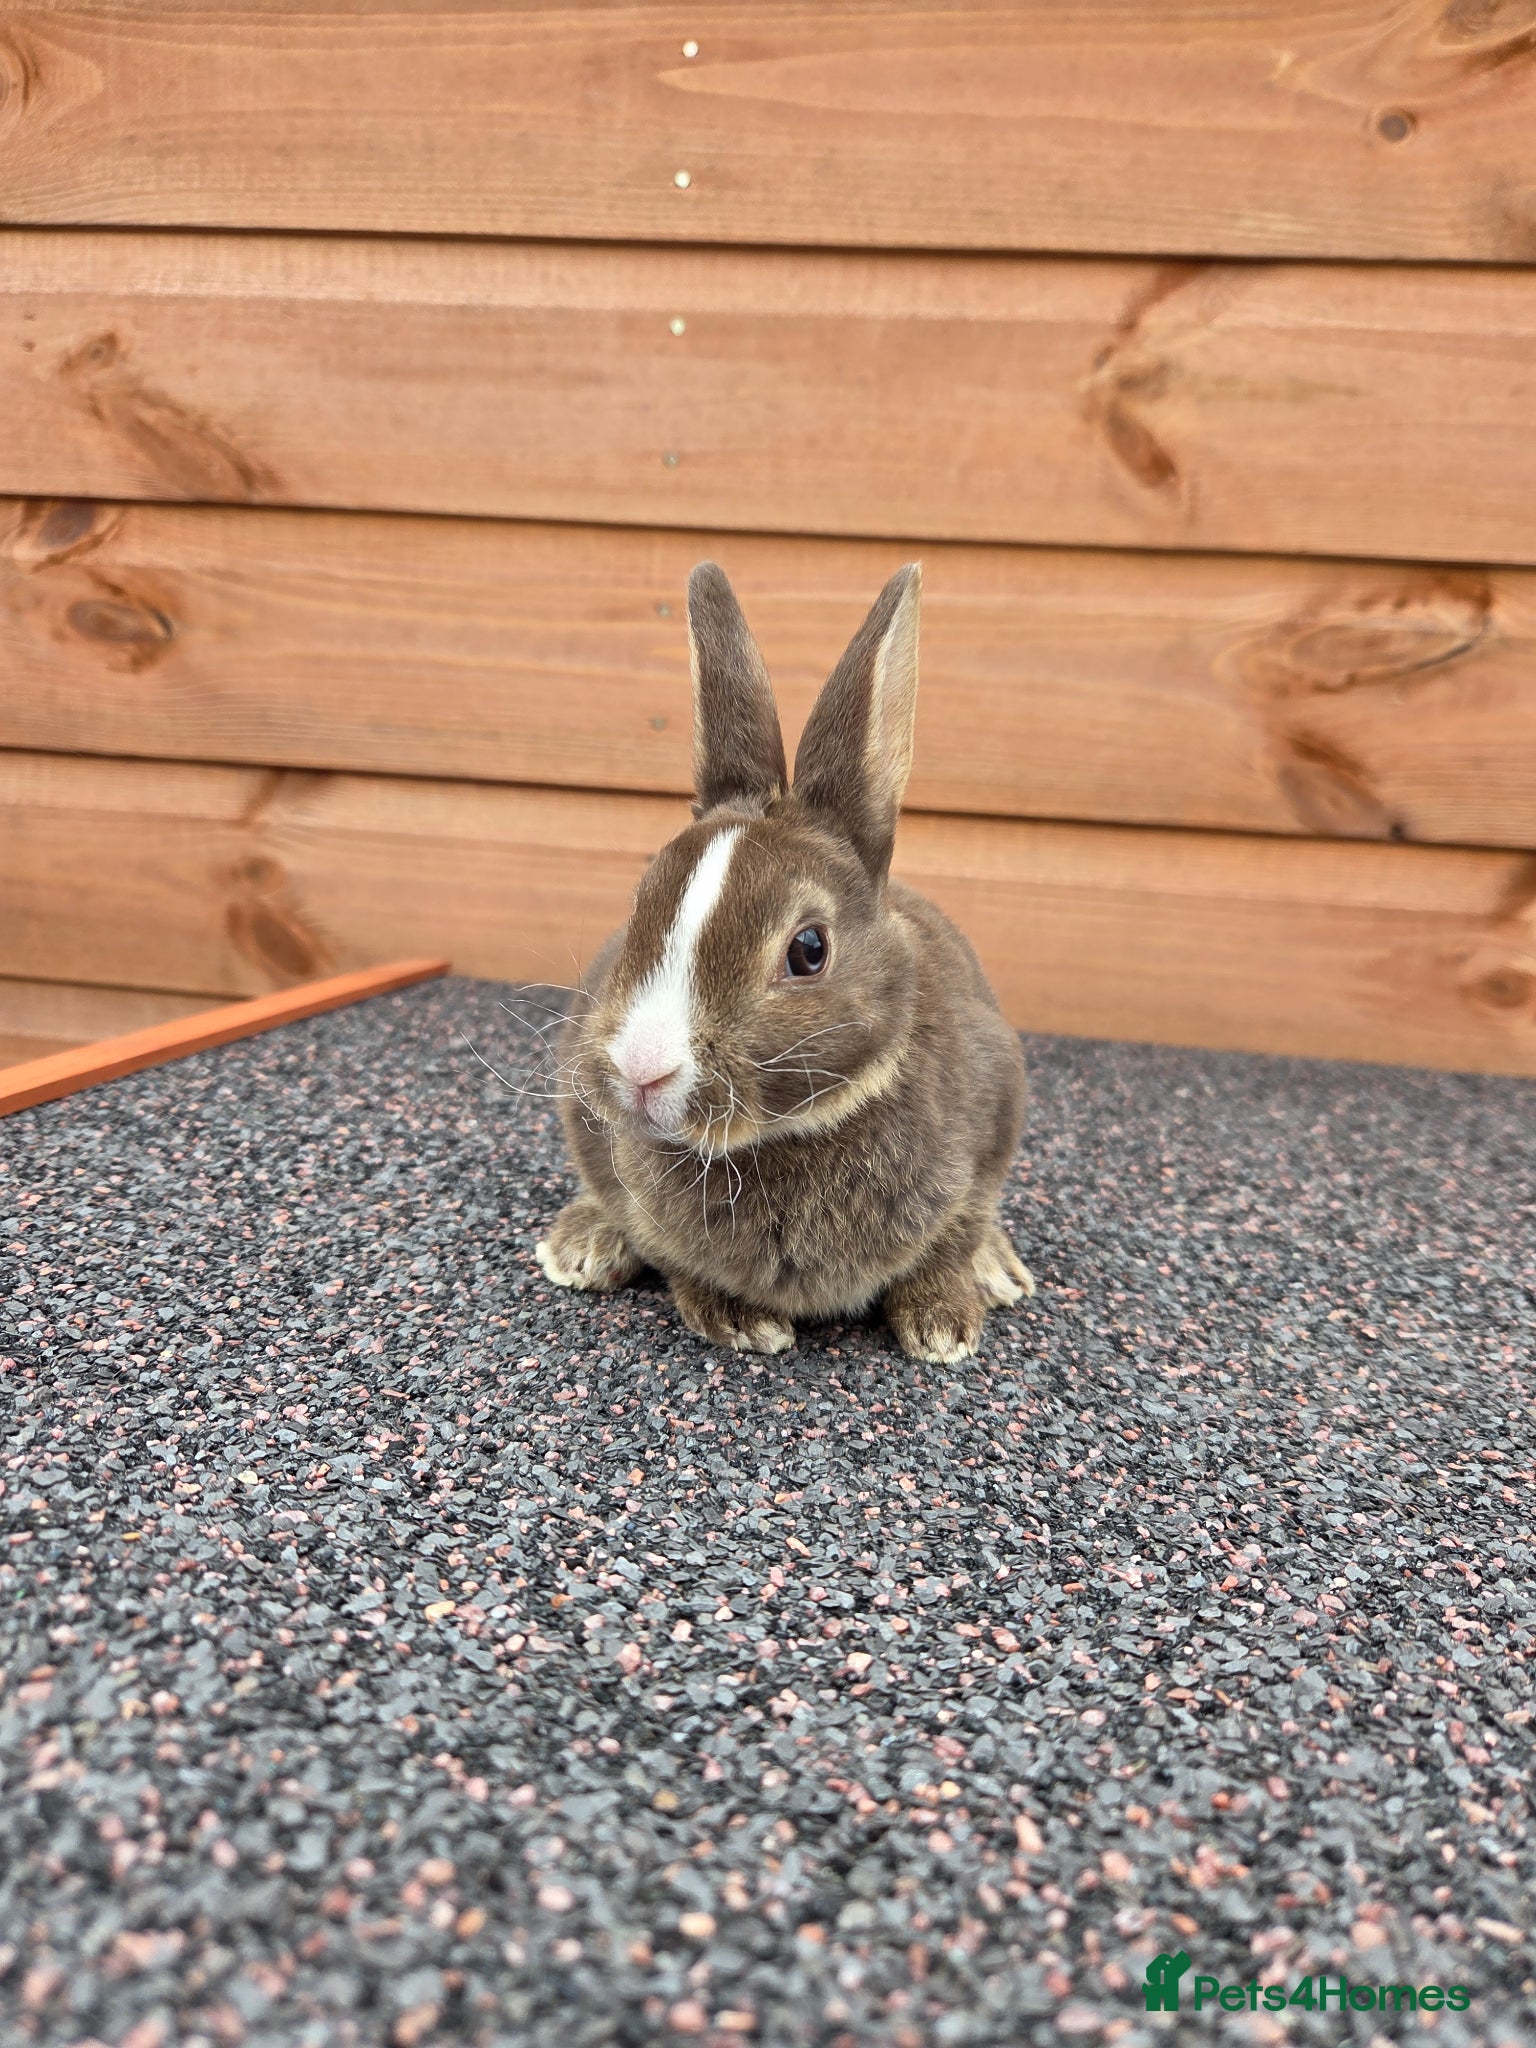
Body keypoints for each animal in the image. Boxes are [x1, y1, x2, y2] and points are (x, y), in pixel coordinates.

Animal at [535, 560, 1033, 1364]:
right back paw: (580, 1245)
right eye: (641, 901)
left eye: (809, 950)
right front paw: (738, 1318)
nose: (642, 1070)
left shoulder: (992, 1128)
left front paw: (942, 1324)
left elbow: (952, 1236)